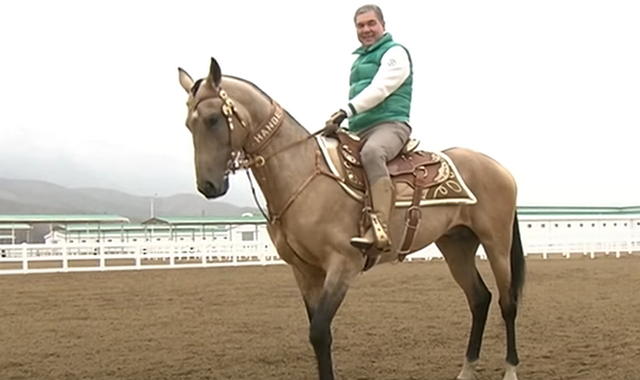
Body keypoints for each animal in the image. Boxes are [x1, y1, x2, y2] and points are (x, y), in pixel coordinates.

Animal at [175, 56, 524, 380]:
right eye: (189, 125)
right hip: (456, 245)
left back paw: (510, 369)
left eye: (212, 119)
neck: (303, 172)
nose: (208, 186)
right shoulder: (304, 271)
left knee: (507, 303)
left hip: (496, 244)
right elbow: (319, 334)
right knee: (479, 299)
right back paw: (467, 370)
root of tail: (500, 169)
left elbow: (318, 332)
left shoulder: (343, 264)